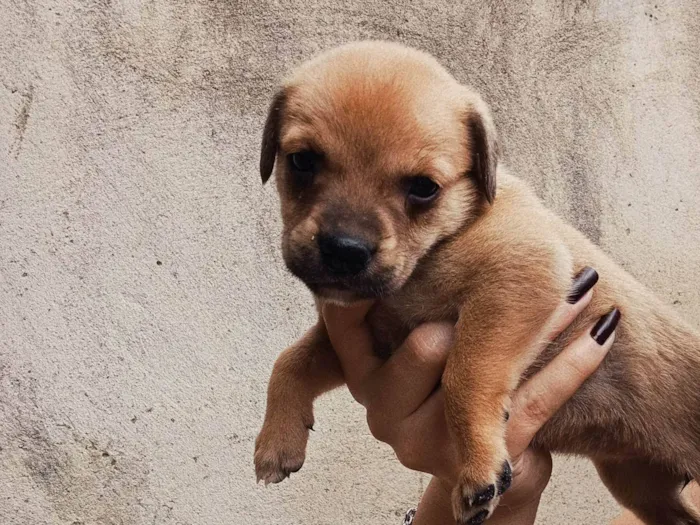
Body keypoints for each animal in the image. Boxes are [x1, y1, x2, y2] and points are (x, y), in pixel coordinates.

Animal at [254, 42, 700, 524]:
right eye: (302, 161)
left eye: (424, 188)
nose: (344, 250)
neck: (440, 245)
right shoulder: (364, 339)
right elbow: (290, 360)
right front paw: (276, 442)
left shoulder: (517, 279)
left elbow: (464, 376)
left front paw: (478, 470)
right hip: (637, 482)